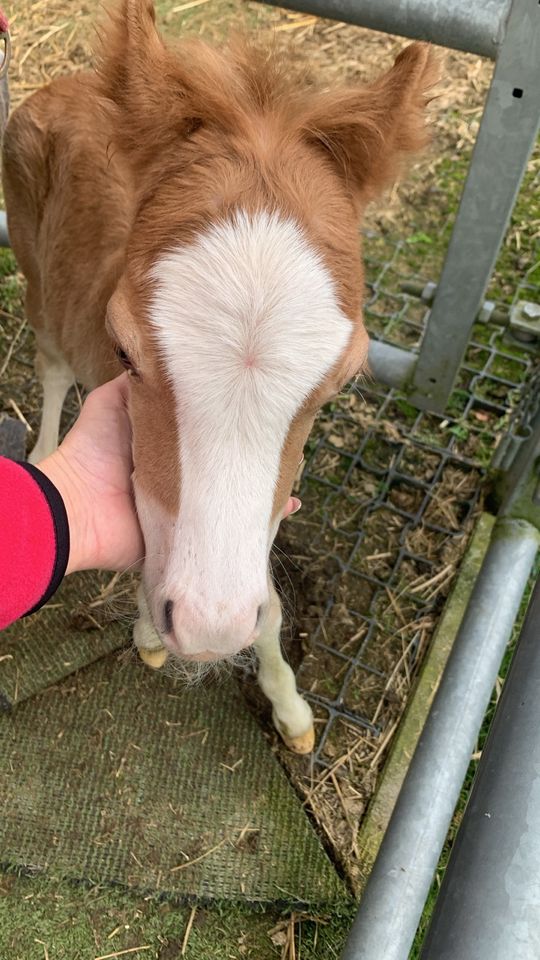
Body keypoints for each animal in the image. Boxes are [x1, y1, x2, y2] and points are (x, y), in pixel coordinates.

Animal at [2, 0, 436, 752]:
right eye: (123, 351)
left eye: (345, 379)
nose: (207, 626)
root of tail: (62, 84)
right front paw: (154, 633)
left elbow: (267, 606)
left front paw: (290, 708)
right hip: (34, 267)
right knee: (51, 365)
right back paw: (47, 448)